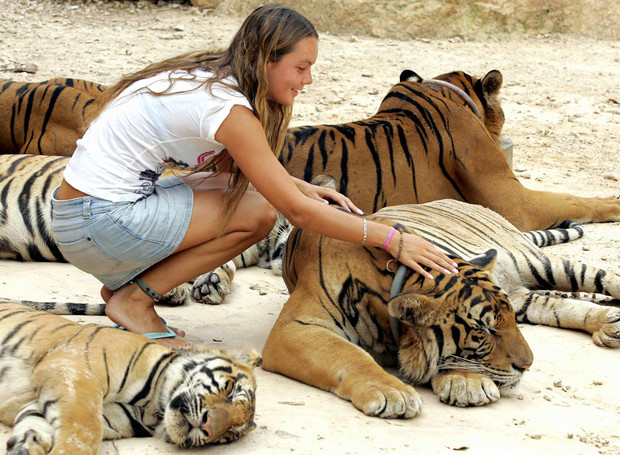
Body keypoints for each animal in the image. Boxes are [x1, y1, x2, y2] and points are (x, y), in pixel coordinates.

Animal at [0, 302, 262, 454]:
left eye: (229, 434)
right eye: (230, 391)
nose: (208, 428)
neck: (153, 407)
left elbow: (33, 421)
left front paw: (24, 445)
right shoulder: (72, 370)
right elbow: (84, 430)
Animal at [260, 200, 620, 420]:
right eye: (483, 329)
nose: (527, 366)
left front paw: (467, 384)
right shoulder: (297, 326)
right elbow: (348, 355)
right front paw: (393, 393)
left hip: (539, 262)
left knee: (604, 276)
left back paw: (611, 322)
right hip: (523, 297)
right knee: (556, 304)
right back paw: (609, 324)